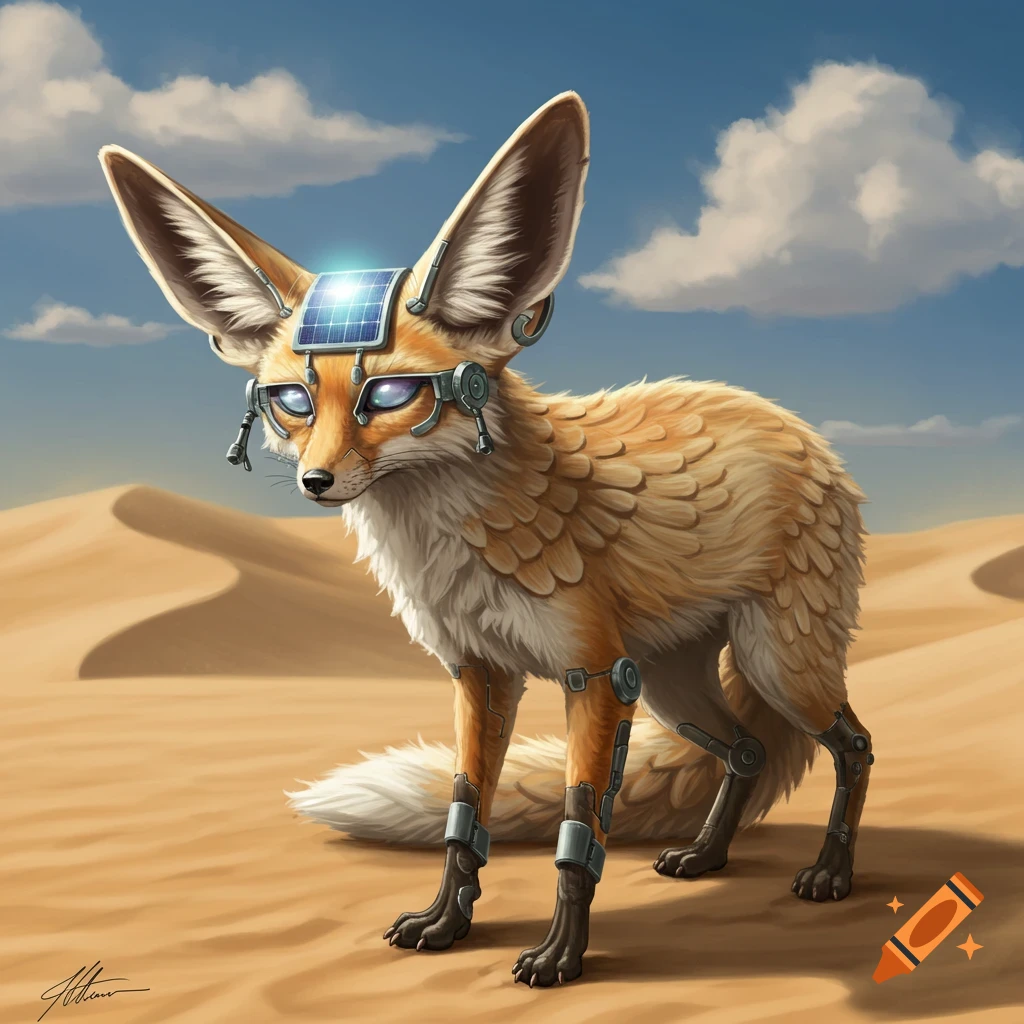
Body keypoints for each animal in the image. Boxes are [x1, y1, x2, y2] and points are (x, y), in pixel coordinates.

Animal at [99, 91, 872, 988]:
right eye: (292, 401)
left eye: (388, 394)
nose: (316, 483)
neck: (456, 549)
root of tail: (790, 422)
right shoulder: (481, 671)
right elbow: (464, 813)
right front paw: (447, 922)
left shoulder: (594, 676)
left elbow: (579, 831)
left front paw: (562, 953)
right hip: (677, 688)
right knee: (747, 752)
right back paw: (708, 856)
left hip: (773, 666)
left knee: (854, 745)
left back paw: (832, 872)